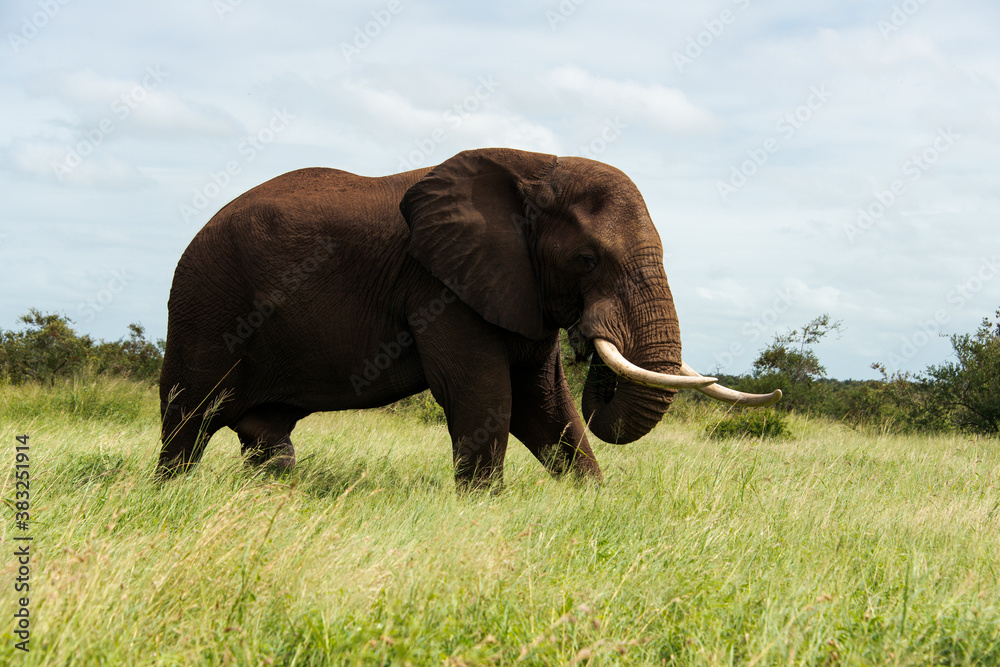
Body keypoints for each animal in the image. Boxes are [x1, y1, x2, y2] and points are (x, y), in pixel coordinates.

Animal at [158, 147, 780, 489]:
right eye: (586, 260)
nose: (591, 343)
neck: (535, 167)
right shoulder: (439, 286)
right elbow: (485, 394)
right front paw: (485, 507)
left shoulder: (516, 286)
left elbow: (545, 401)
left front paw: (595, 502)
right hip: (205, 305)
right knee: (188, 419)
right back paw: (168, 497)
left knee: (267, 441)